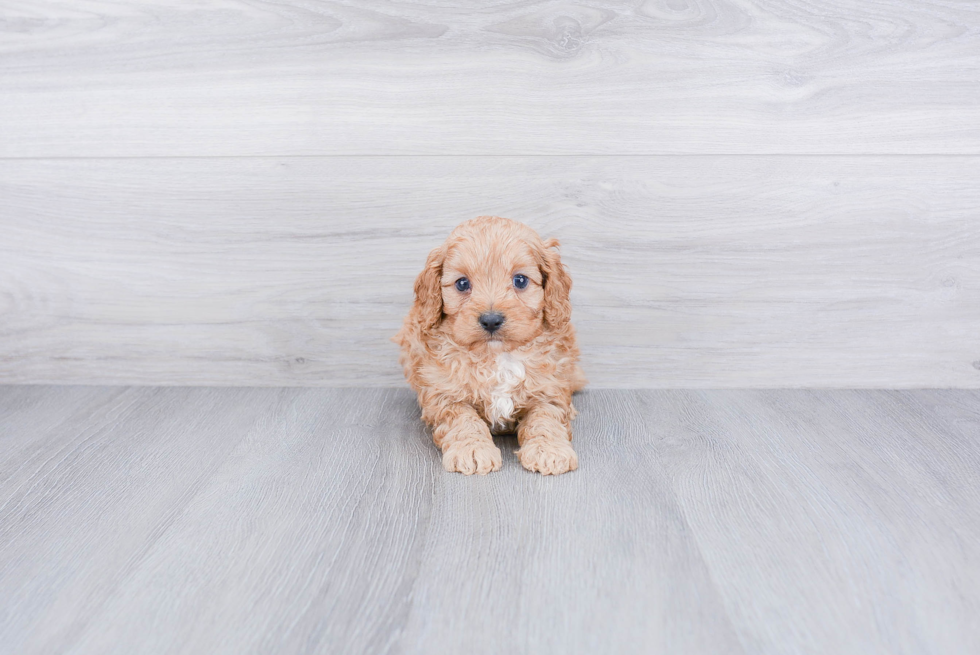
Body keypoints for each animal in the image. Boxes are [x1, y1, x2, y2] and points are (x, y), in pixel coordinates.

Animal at [394, 217, 584, 476]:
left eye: (520, 280)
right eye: (462, 283)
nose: (491, 320)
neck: (497, 356)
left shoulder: (550, 389)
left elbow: (546, 417)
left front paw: (549, 450)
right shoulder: (444, 395)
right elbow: (463, 420)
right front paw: (472, 450)